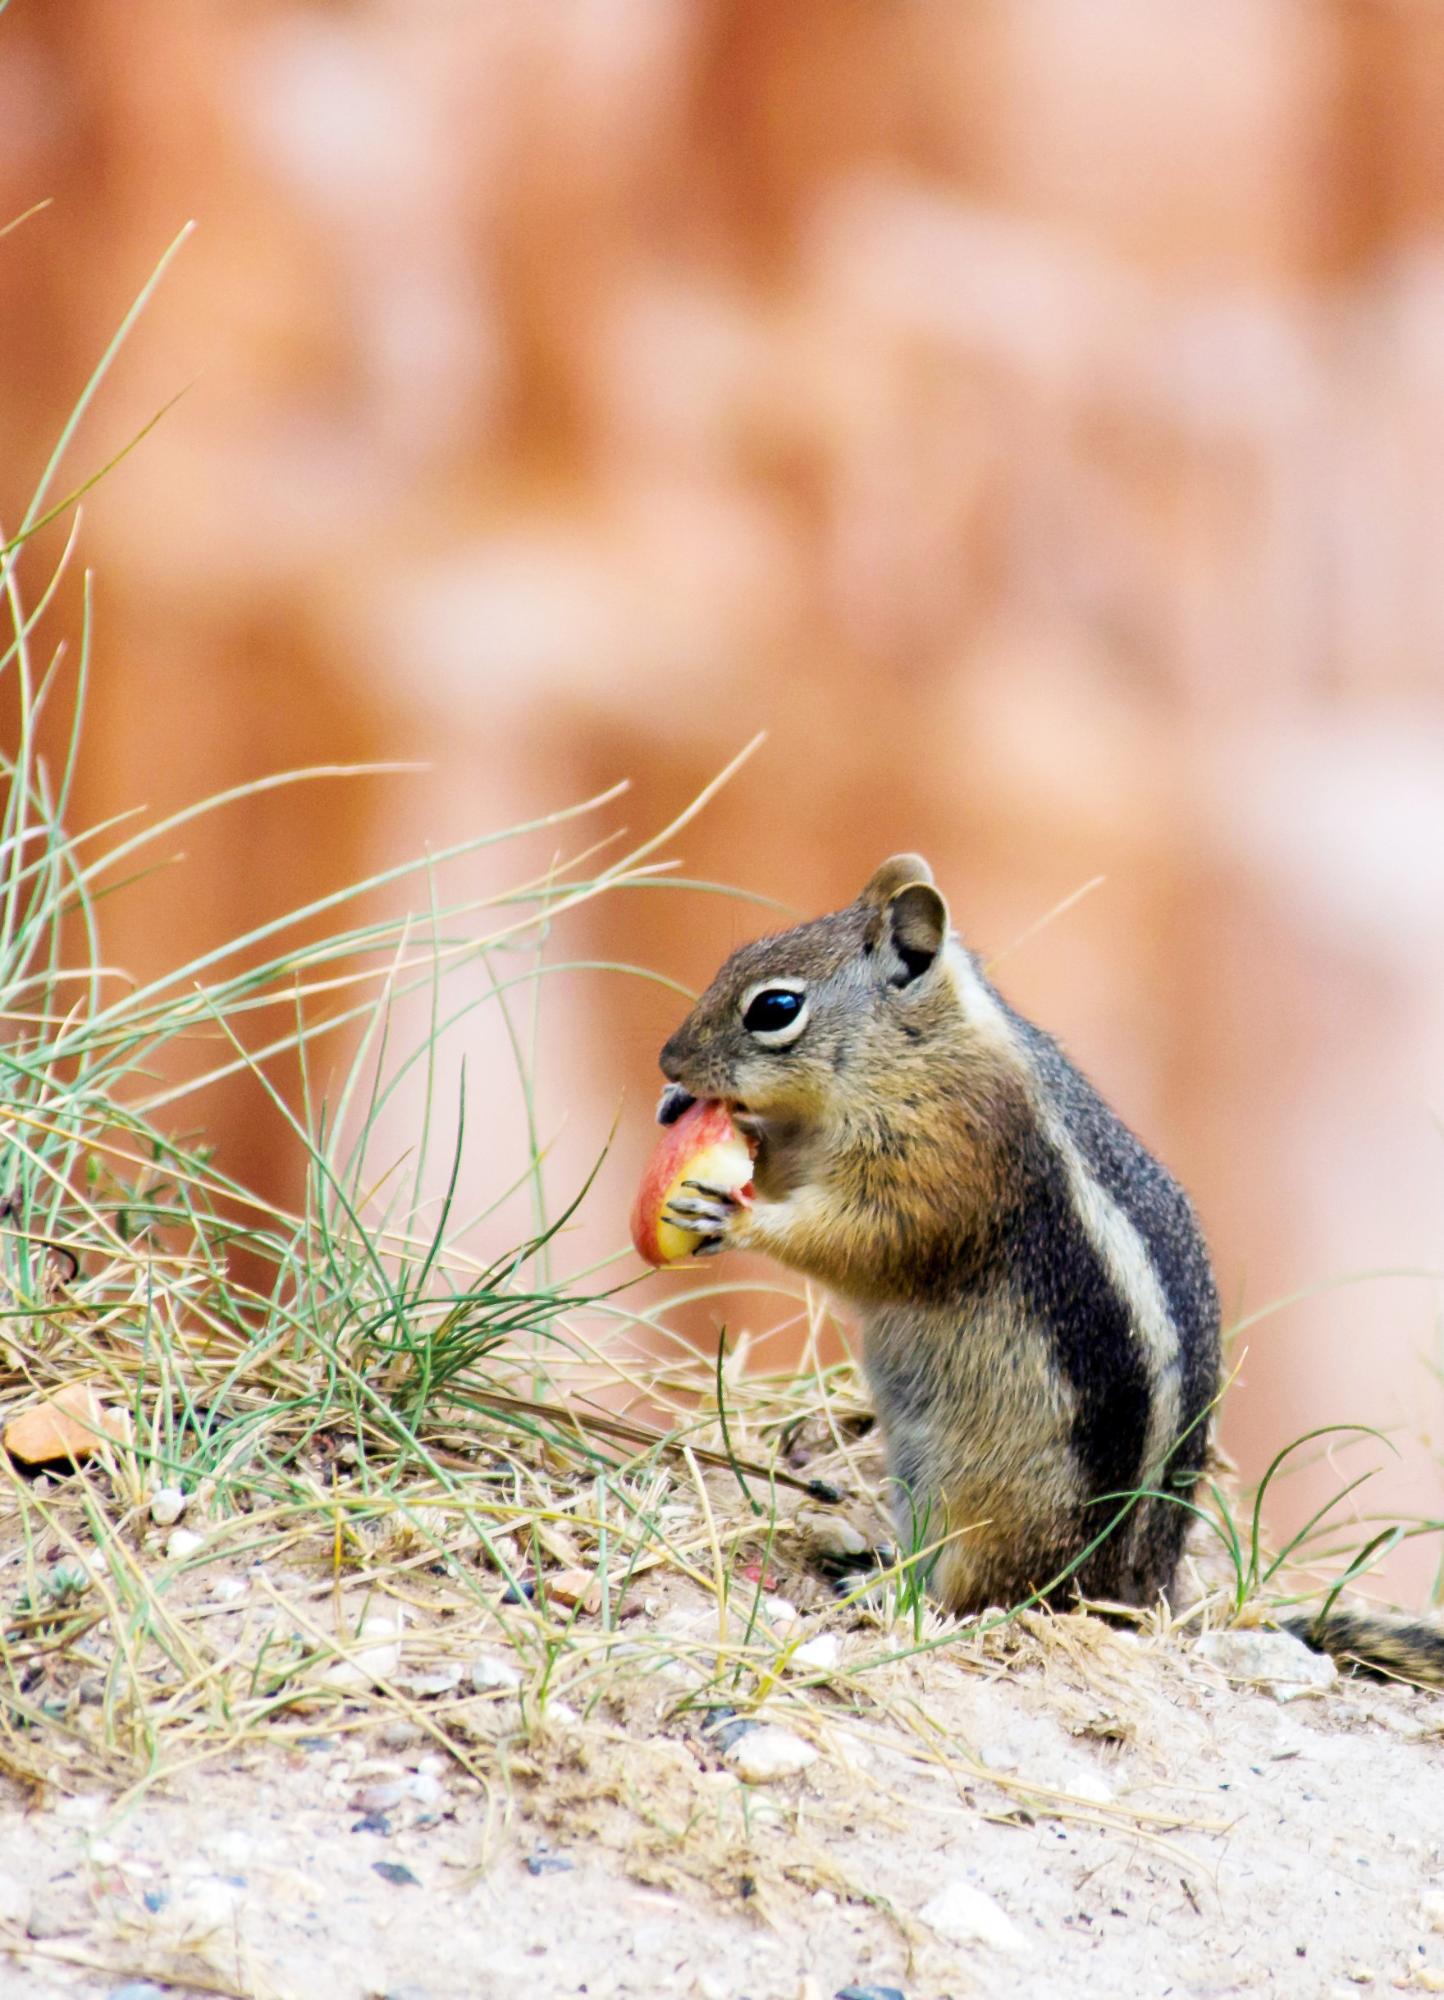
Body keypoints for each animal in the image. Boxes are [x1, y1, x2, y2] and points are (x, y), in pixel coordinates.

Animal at [652, 852, 1440, 1680]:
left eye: (774, 1008)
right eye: (736, 958)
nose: (668, 1059)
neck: (923, 1044)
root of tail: (1139, 1598)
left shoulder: (953, 1153)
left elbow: (870, 1241)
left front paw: (734, 1215)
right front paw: (693, 1110)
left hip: (994, 1510)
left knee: (981, 1595)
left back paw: (890, 1597)